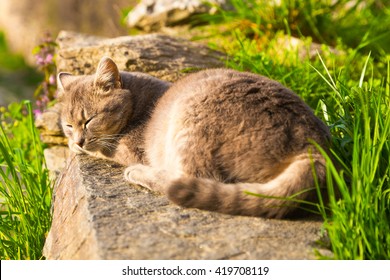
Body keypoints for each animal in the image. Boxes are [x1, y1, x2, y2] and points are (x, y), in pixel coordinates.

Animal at [58, 56, 330, 219]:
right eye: (68, 125)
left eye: (89, 120)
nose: (78, 139)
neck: (137, 102)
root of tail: (314, 146)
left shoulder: (127, 149)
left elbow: (101, 148)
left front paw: (76, 147)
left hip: (190, 122)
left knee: (188, 180)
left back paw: (139, 174)